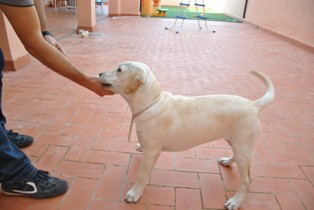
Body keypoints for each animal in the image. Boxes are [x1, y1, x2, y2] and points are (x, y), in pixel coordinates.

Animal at [99, 61, 274, 209]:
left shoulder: (152, 152)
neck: (151, 103)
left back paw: (235, 201)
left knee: (247, 179)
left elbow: (142, 174)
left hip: (242, 145)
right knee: (237, 159)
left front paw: (134, 193)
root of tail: (254, 105)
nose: (100, 73)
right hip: (237, 143)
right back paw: (227, 161)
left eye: (119, 70)